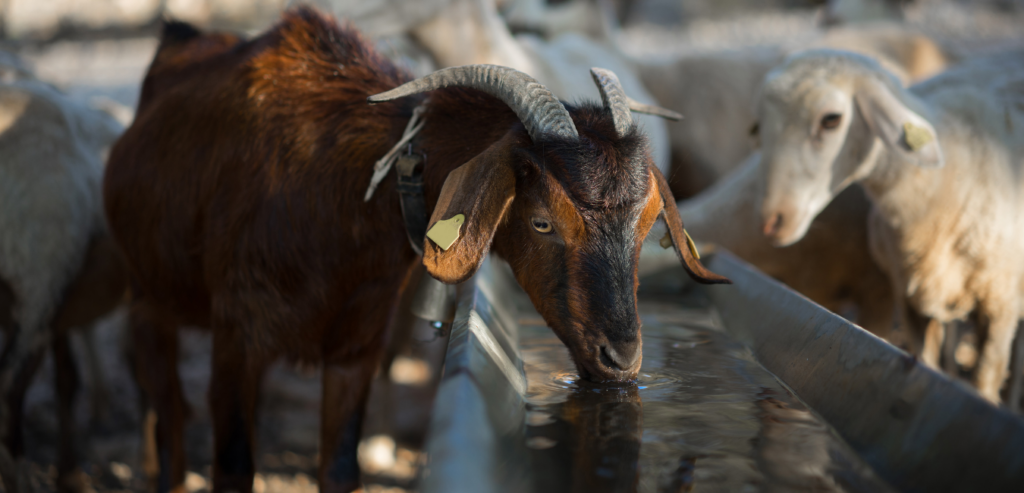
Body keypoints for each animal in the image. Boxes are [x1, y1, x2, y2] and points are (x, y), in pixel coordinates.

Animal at [103, 8, 724, 491]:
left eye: (646, 225)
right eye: (543, 221)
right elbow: (232, 469)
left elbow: (340, 467)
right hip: (146, 297)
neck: (351, 190)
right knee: (168, 416)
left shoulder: (357, 344)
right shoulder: (238, 336)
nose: (622, 360)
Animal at [753, 48, 1024, 403]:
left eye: (831, 120)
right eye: (758, 127)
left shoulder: (1000, 303)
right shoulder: (910, 298)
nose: (771, 221)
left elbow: (985, 378)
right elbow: (927, 363)